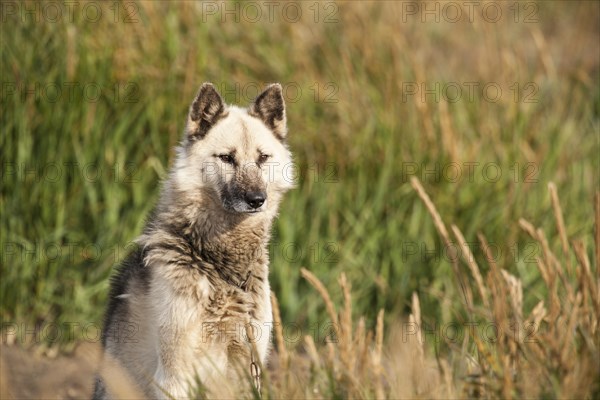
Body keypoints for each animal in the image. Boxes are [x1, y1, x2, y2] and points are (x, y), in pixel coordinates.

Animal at [92, 83, 294, 398]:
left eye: (263, 158)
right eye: (226, 158)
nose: (256, 200)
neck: (222, 268)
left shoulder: (248, 366)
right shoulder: (174, 375)